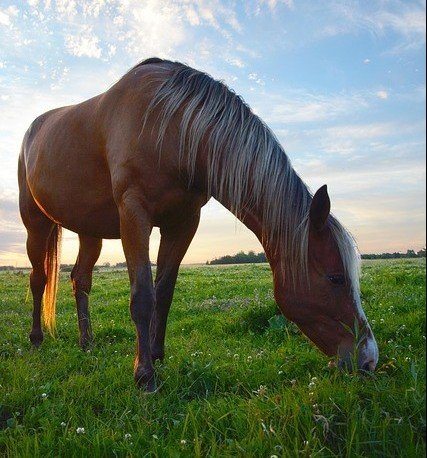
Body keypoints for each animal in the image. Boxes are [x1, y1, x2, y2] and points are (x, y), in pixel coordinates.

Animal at [18, 57, 380, 392]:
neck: (169, 125)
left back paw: (87, 343)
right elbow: (143, 295)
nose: (369, 359)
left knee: (80, 280)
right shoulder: (134, 214)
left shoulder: (183, 222)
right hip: (35, 224)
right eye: (335, 278)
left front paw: (157, 356)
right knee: (39, 279)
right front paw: (144, 375)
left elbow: (164, 293)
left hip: (89, 231)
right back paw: (36, 340)